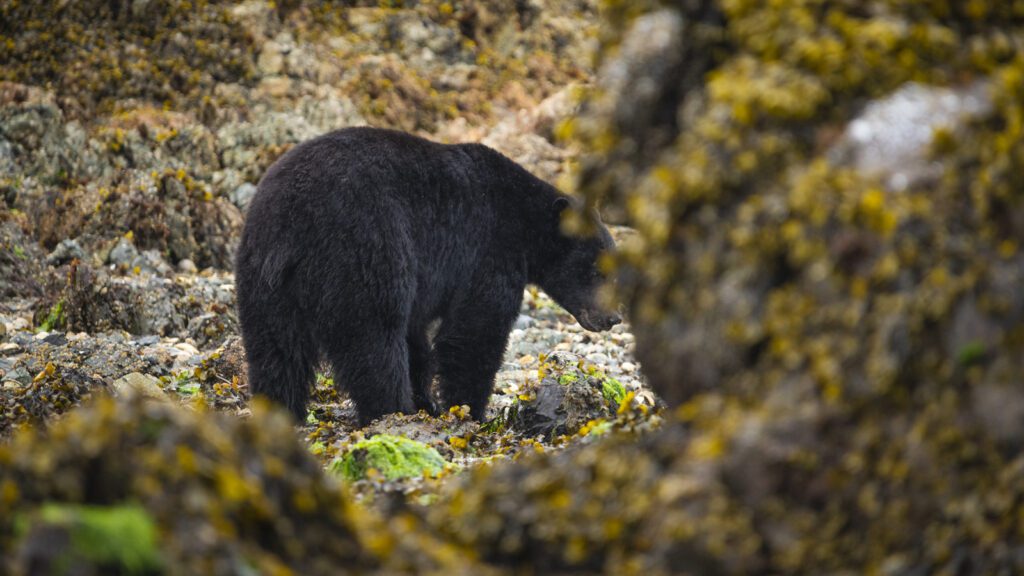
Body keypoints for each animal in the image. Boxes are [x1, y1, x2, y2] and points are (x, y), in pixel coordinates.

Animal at [237, 127, 622, 422]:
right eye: (595, 270)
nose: (614, 318)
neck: (524, 222)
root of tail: (292, 220)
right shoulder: (488, 251)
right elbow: (476, 332)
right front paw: (471, 411)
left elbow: (417, 336)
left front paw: (430, 402)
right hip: (365, 247)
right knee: (374, 336)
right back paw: (393, 411)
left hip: (262, 276)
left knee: (275, 349)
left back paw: (280, 412)